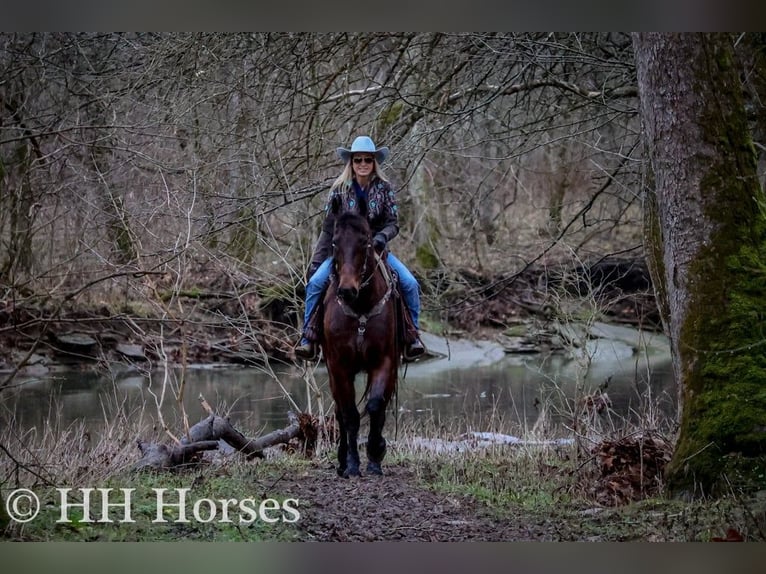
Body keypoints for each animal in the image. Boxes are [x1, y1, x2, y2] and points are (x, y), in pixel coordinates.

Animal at [320, 197, 400, 476]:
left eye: (365, 240)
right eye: (335, 242)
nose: (347, 290)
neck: (361, 307)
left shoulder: (384, 361)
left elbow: (375, 405)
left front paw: (375, 456)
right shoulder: (339, 366)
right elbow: (350, 415)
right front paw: (352, 464)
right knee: (340, 412)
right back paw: (343, 460)